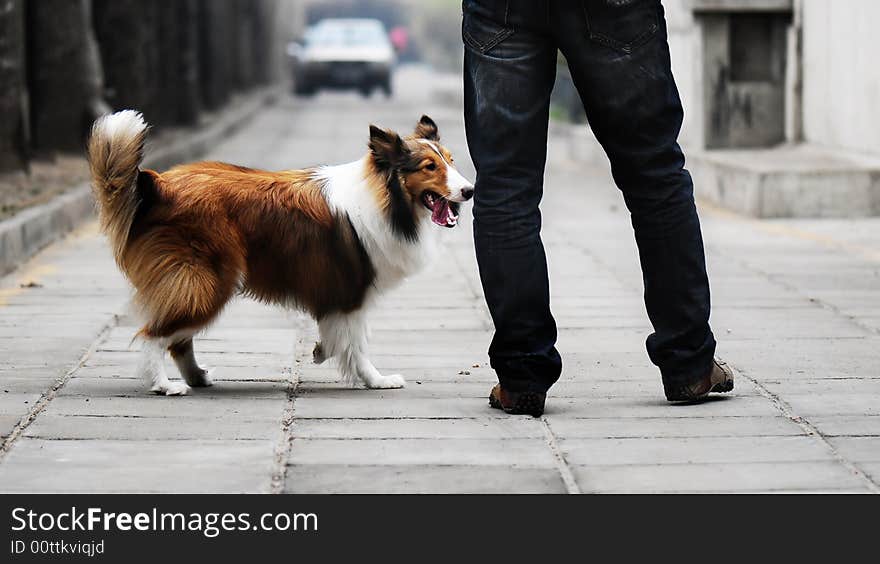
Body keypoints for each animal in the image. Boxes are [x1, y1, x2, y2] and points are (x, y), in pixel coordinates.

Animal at [87, 111, 474, 396]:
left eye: (451, 161)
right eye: (429, 167)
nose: (470, 191)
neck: (385, 199)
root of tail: (158, 185)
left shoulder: (338, 295)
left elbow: (338, 336)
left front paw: (319, 351)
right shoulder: (352, 291)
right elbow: (357, 344)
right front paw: (376, 380)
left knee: (179, 340)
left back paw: (197, 377)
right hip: (207, 282)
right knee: (155, 335)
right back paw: (164, 385)